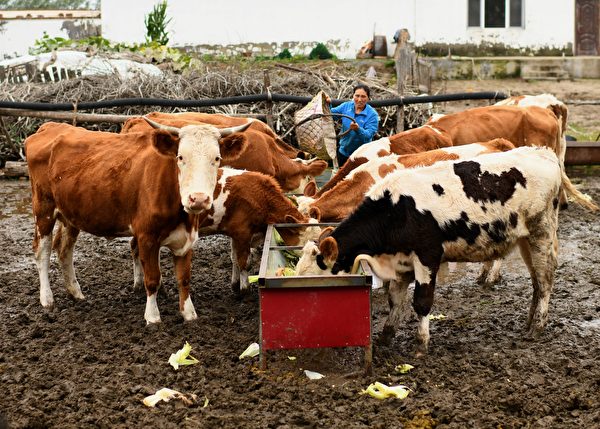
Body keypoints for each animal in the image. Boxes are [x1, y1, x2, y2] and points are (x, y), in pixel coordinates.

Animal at [25, 118, 248, 322]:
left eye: (217, 158)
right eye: (180, 157)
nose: (198, 198)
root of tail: (51, 126)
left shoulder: (187, 239)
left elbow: (184, 279)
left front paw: (189, 314)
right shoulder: (146, 236)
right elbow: (152, 279)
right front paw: (153, 317)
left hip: (71, 215)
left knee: (64, 249)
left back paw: (76, 292)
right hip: (43, 209)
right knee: (42, 250)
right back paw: (47, 299)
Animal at [296, 147, 564, 354]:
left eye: (318, 276)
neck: (396, 210)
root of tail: (542, 152)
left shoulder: (427, 256)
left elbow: (422, 302)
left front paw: (421, 343)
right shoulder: (400, 263)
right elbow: (395, 300)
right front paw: (386, 335)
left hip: (541, 233)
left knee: (545, 279)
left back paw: (537, 327)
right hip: (525, 241)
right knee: (536, 281)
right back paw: (529, 322)